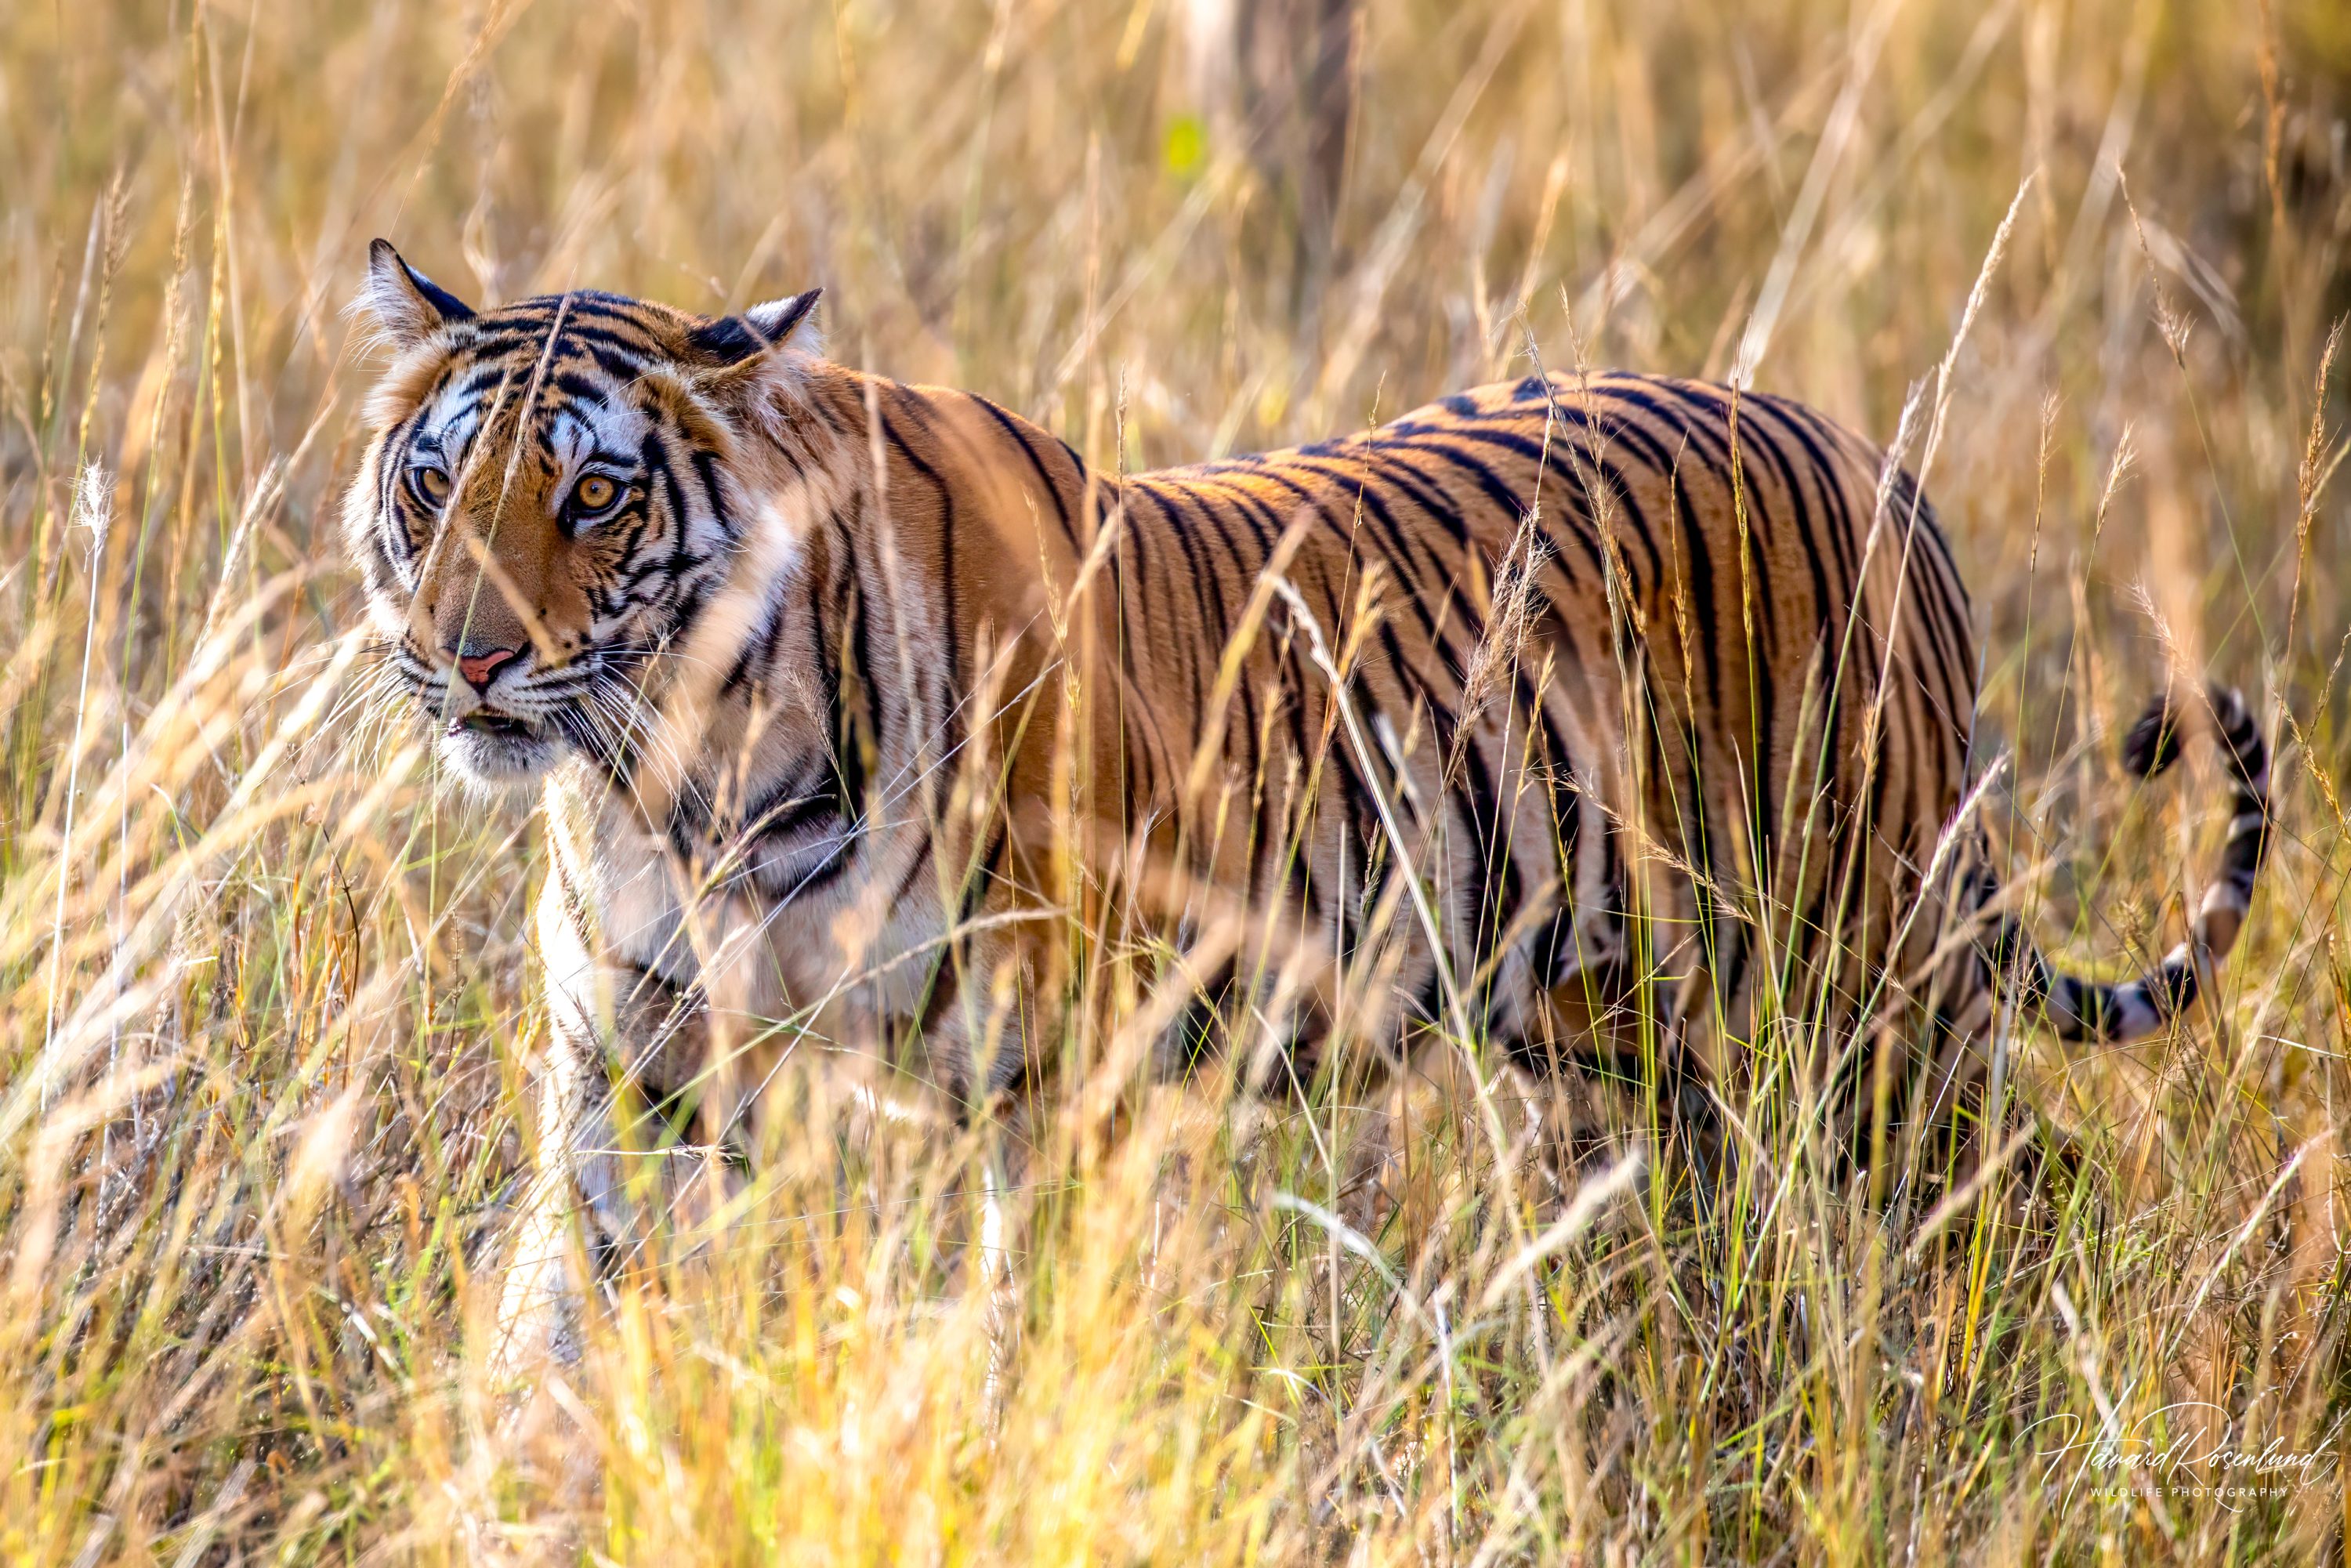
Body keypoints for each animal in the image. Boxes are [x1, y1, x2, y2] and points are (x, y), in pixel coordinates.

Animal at [344, 240, 2269, 1363]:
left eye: (592, 497)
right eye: (437, 483)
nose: (466, 659)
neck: (684, 777)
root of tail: (1873, 456)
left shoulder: (1050, 1084)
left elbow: (1021, 1334)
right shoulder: (632, 1066)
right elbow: (565, 1308)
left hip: (1869, 970)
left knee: (2013, 1191)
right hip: (1613, 1033)